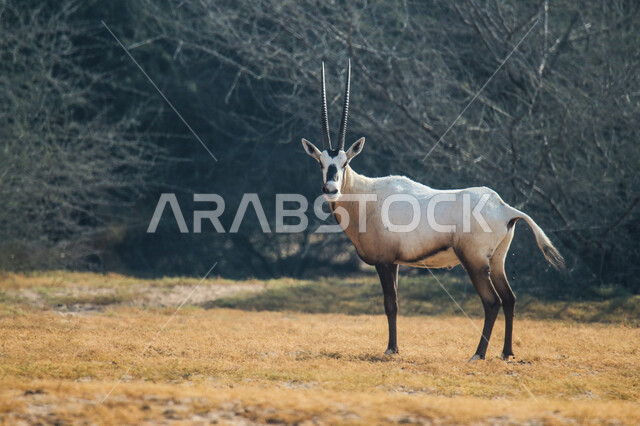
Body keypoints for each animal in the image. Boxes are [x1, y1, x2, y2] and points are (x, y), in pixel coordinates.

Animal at [301, 61, 565, 361]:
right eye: (321, 162)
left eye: (345, 163)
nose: (331, 188)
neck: (366, 196)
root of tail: (504, 208)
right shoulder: (396, 263)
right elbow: (395, 304)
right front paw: (395, 347)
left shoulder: (385, 262)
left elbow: (390, 304)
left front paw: (391, 349)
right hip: (497, 261)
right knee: (509, 299)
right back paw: (506, 353)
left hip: (474, 262)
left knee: (492, 302)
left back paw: (478, 354)